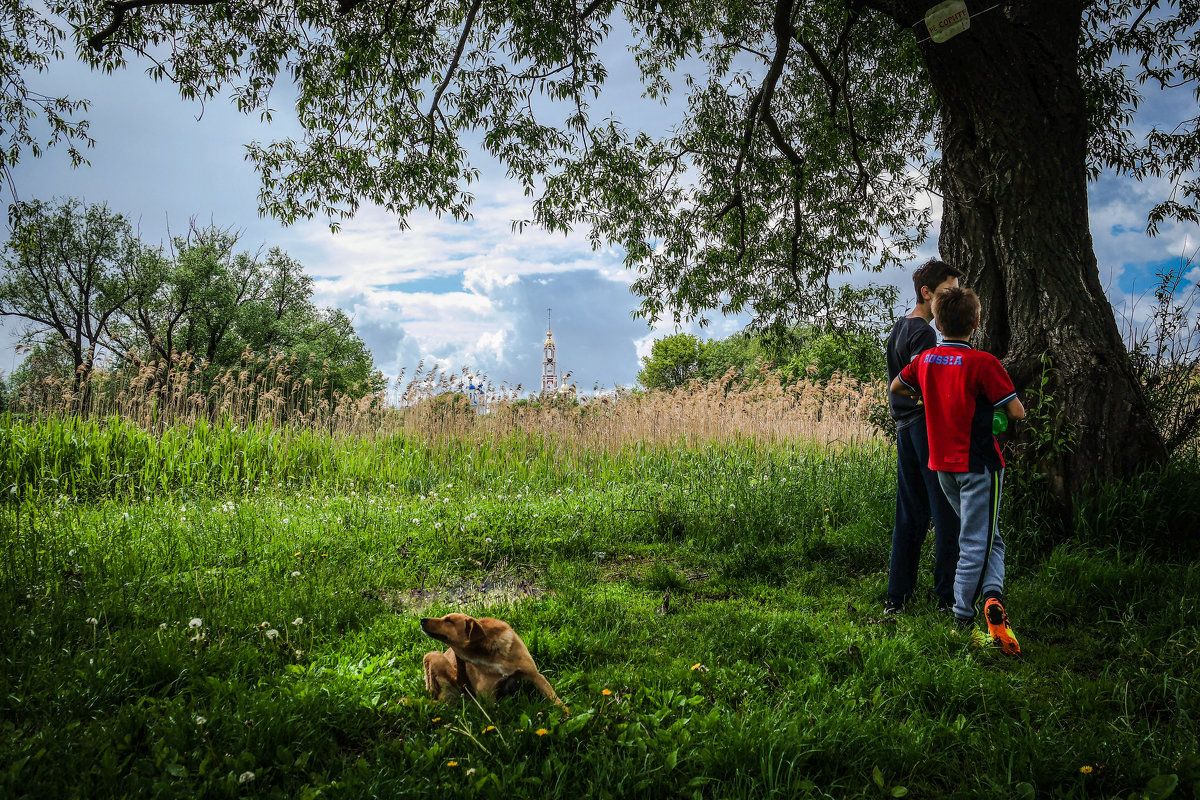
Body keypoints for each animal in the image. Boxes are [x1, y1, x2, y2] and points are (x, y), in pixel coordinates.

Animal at [420, 614, 568, 714]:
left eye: (448, 620)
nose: (422, 620)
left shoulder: (535, 676)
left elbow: (554, 699)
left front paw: (566, 715)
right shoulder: (488, 697)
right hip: (433, 655)